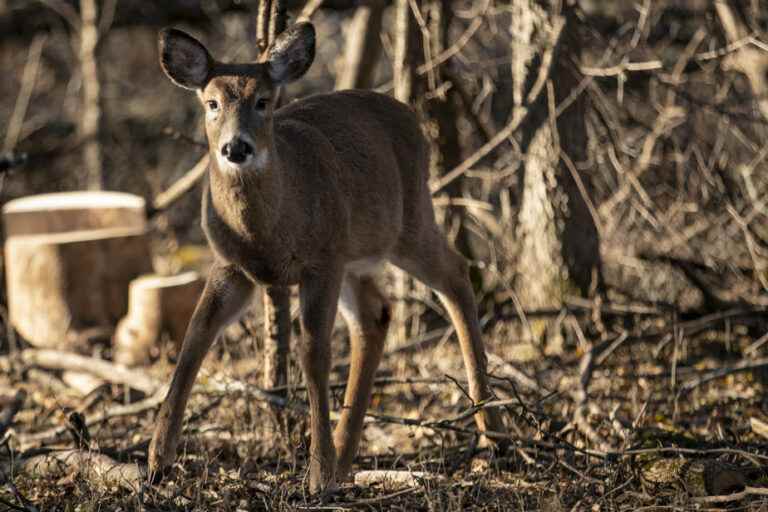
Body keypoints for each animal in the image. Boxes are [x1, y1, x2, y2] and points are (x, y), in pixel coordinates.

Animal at [148, 21, 510, 496]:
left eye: (263, 101)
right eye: (212, 103)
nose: (236, 148)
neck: (268, 232)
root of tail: (410, 116)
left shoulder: (321, 261)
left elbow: (313, 353)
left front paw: (317, 475)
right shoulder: (233, 266)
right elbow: (194, 337)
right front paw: (158, 459)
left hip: (406, 221)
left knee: (455, 273)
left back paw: (493, 434)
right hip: (357, 254)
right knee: (376, 315)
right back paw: (346, 455)